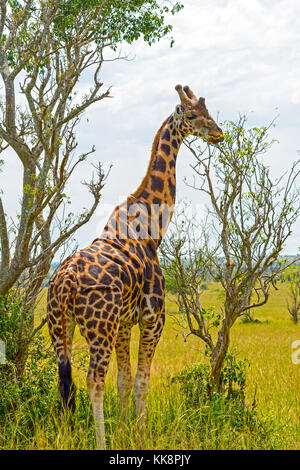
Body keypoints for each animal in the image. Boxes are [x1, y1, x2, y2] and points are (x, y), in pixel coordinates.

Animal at [47, 84, 223, 448]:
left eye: (209, 112)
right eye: (193, 115)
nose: (218, 133)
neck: (153, 226)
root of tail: (66, 280)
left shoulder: (125, 324)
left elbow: (125, 380)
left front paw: (125, 429)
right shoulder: (153, 318)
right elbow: (142, 380)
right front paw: (138, 433)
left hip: (59, 324)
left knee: (64, 380)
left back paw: (64, 437)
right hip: (98, 327)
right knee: (93, 380)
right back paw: (100, 442)